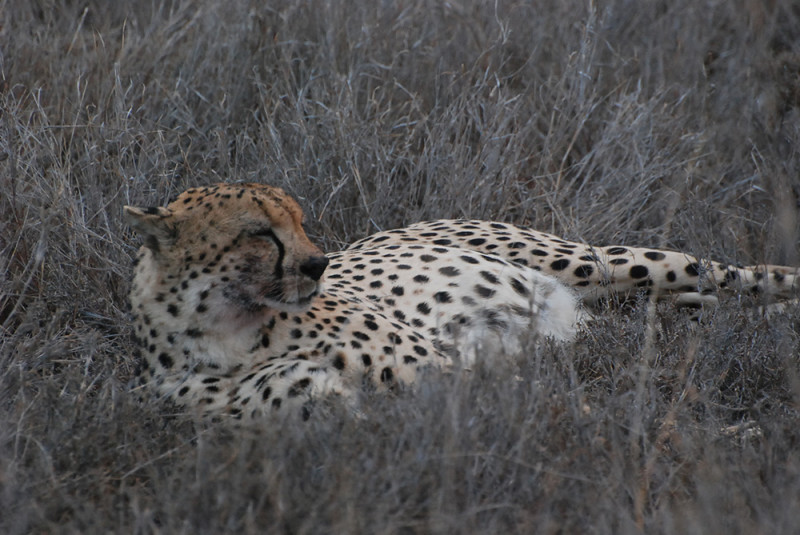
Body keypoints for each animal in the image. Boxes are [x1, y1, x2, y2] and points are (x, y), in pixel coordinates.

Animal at [124, 182, 799, 422]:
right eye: (261, 234)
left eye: (299, 220)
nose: (318, 263)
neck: (227, 330)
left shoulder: (441, 368)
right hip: (623, 305)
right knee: (692, 304)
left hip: (595, 262)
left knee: (729, 272)